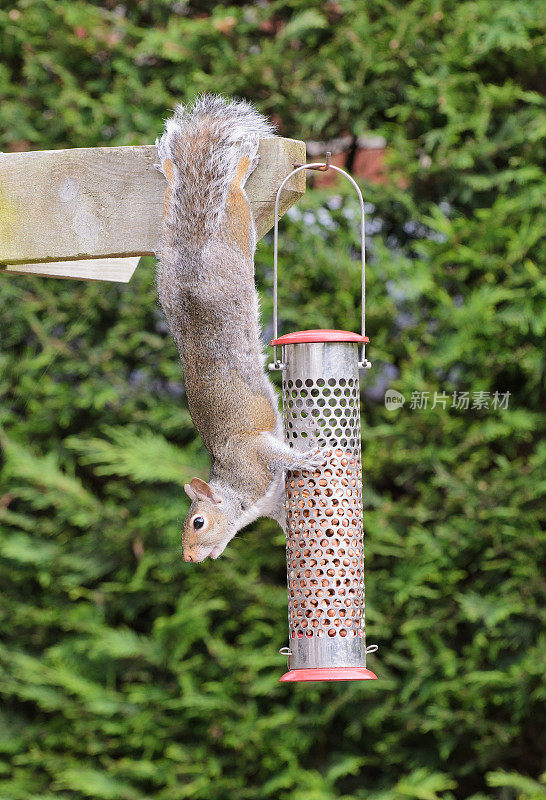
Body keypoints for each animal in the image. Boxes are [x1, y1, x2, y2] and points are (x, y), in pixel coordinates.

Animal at [154, 95, 318, 564]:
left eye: (197, 522)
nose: (189, 559)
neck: (238, 493)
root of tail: (193, 252)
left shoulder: (254, 454)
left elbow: (278, 457)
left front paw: (304, 461)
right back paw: (170, 168)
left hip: (237, 227)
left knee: (233, 192)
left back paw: (243, 165)